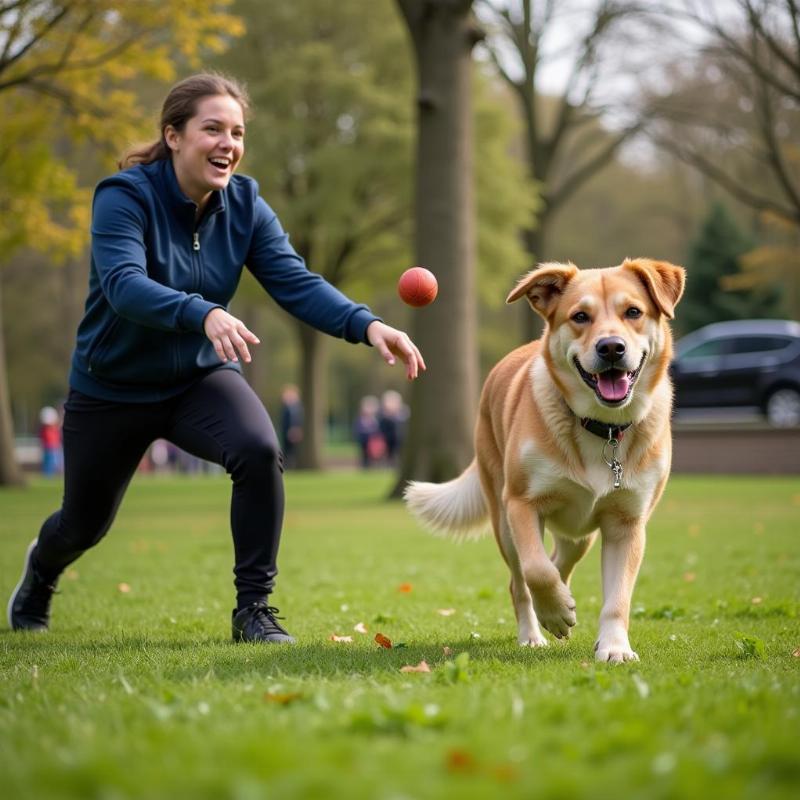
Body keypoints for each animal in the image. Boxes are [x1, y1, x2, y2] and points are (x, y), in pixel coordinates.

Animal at [410, 258, 684, 664]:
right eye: (580, 316)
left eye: (633, 312)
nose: (611, 347)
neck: (601, 428)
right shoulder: (522, 504)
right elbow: (536, 569)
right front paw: (554, 612)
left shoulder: (627, 523)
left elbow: (617, 597)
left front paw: (614, 647)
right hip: (503, 521)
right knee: (520, 580)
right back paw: (535, 630)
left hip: (579, 534)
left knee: (562, 561)